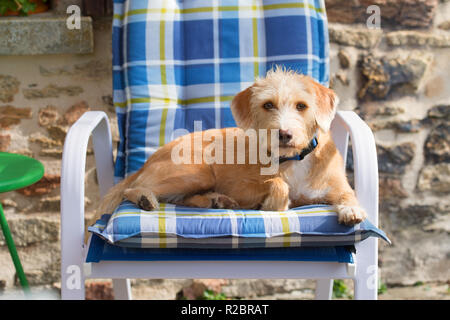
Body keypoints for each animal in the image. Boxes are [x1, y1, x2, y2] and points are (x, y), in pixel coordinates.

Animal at [89, 67, 368, 238]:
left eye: (302, 106)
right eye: (268, 105)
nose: (284, 134)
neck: (292, 159)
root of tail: (148, 161)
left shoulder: (336, 186)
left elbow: (349, 195)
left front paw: (351, 211)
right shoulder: (241, 187)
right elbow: (278, 184)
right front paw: (273, 203)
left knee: (181, 199)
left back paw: (214, 201)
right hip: (197, 172)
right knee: (134, 188)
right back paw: (146, 198)